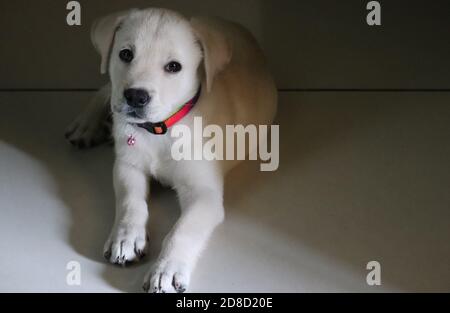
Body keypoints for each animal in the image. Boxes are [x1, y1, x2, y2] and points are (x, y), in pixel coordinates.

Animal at [66, 7, 278, 292]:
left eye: (174, 67)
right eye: (125, 54)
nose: (136, 96)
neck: (161, 129)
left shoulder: (204, 194)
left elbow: (182, 230)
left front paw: (166, 269)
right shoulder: (127, 165)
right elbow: (130, 201)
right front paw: (126, 237)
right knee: (106, 90)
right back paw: (86, 125)